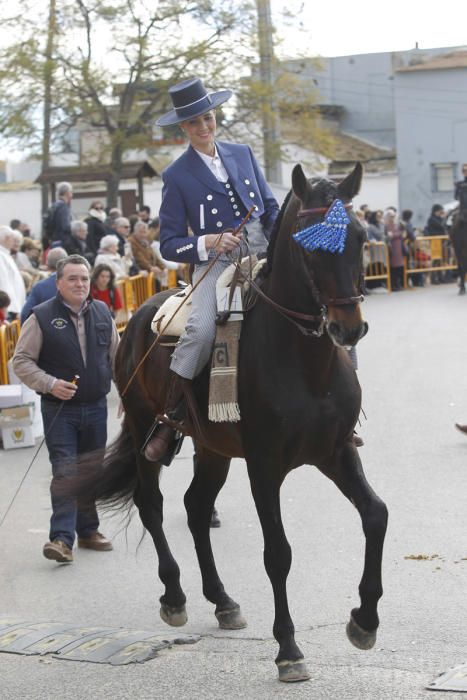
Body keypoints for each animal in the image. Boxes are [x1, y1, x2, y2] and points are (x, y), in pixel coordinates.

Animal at [70, 161, 392, 680]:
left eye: (361, 236)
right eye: (308, 243)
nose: (349, 327)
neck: (306, 363)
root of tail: (136, 316)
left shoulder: (335, 451)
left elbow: (376, 515)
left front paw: (364, 621)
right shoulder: (264, 467)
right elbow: (277, 552)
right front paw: (288, 649)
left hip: (212, 449)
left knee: (197, 507)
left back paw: (222, 600)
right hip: (143, 429)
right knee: (152, 504)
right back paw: (175, 595)